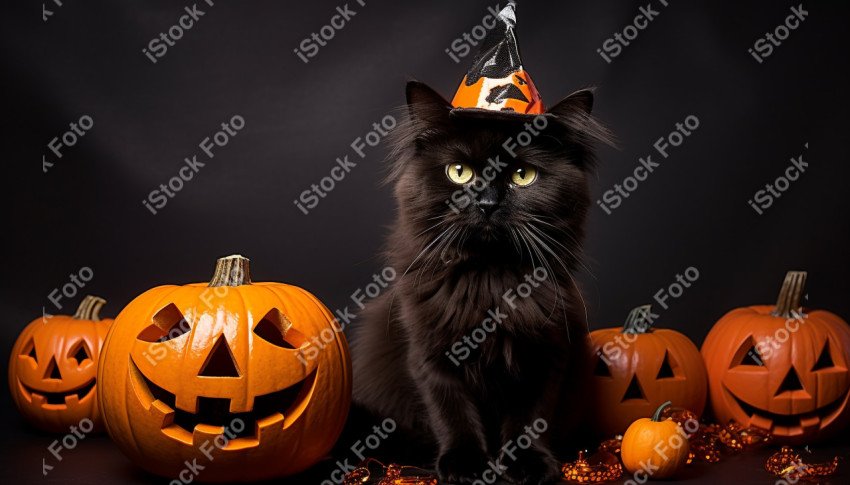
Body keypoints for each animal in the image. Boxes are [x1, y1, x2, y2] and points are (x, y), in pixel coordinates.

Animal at [352, 82, 608, 484]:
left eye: (523, 174)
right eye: (460, 172)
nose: (487, 203)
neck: (489, 283)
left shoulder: (545, 356)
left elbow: (530, 418)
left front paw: (527, 464)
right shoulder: (431, 357)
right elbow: (452, 413)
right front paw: (466, 464)